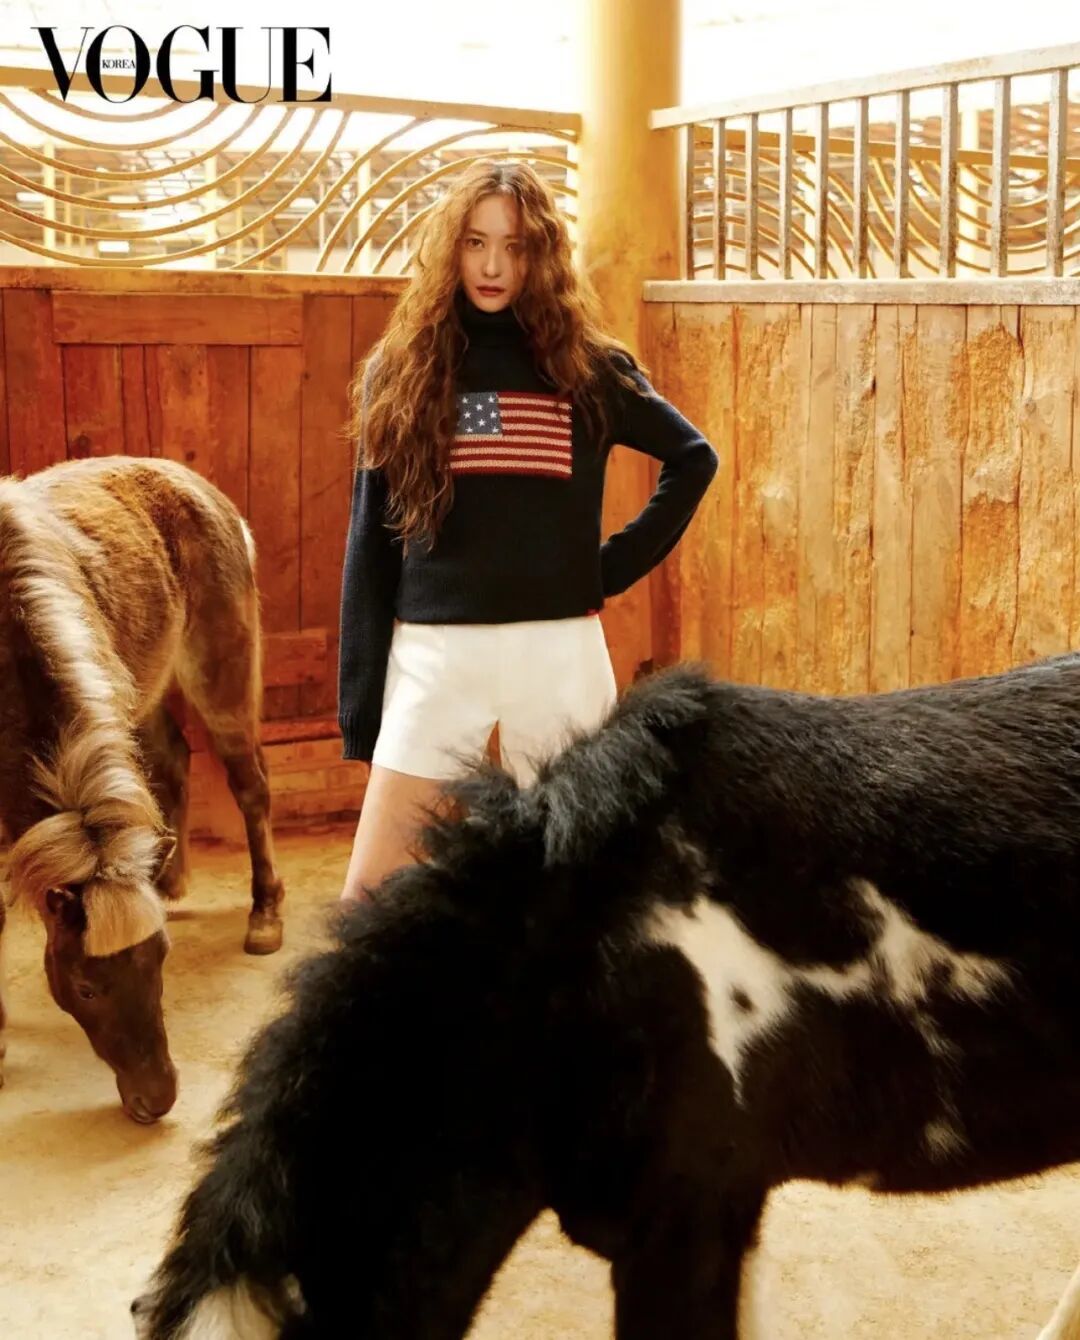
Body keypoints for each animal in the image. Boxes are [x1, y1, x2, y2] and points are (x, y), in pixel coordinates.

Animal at [0, 454, 285, 1124]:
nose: (157, 1099)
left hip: (219, 680)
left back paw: (263, 914)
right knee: (173, 759)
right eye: (84, 987)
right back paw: (167, 877)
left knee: (250, 786)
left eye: (161, 959)